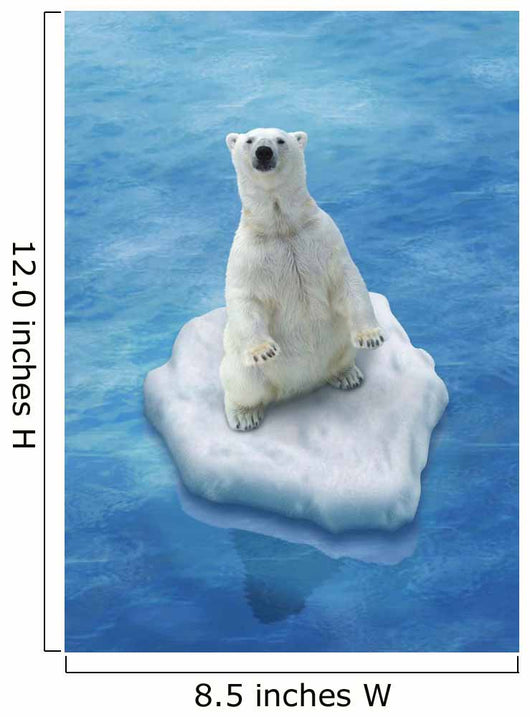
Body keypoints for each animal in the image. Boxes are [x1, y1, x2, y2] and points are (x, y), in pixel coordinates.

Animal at [220, 127, 384, 431]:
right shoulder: (248, 253)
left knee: (341, 355)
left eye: (280, 140)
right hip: (241, 366)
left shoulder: (322, 235)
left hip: (337, 343)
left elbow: (347, 279)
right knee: (241, 383)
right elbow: (245, 298)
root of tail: (301, 386)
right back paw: (244, 416)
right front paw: (263, 350)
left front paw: (370, 337)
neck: (281, 226)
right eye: (249, 140)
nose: (263, 152)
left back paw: (348, 375)